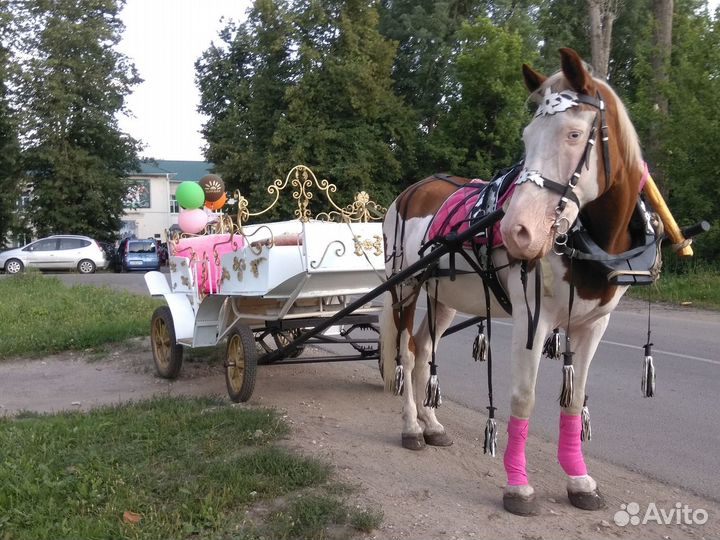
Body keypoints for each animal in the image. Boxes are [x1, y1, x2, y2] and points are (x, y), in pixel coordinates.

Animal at [380, 48, 650, 516]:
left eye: (574, 134)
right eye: (526, 137)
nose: (515, 232)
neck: (590, 244)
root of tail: (409, 193)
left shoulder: (594, 324)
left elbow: (574, 399)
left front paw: (578, 480)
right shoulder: (531, 319)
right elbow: (523, 398)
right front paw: (518, 486)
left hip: (443, 297)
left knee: (424, 350)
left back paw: (432, 425)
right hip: (406, 289)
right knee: (407, 354)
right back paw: (412, 427)